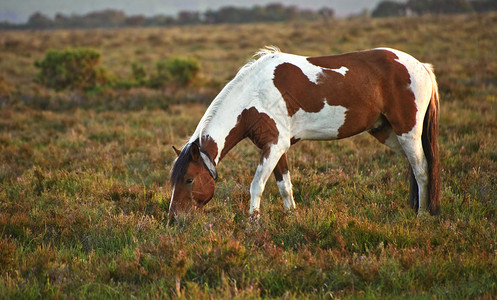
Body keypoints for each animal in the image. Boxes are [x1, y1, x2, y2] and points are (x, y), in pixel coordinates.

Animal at [169, 47, 440, 219]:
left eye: (189, 179)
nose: (174, 219)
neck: (255, 95)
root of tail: (422, 67)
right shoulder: (276, 148)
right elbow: (284, 186)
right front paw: (292, 216)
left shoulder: (274, 146)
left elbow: (256, 185)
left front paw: (253, 223)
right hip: (387, 132)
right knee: (413, 168)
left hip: (407, 131)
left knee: (422, 169)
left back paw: (422, 214)